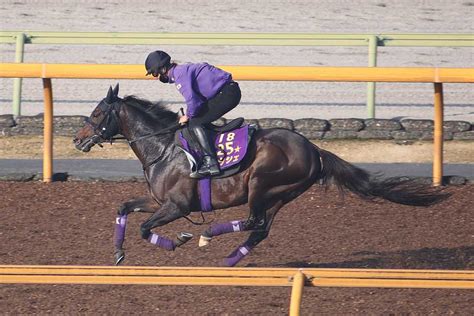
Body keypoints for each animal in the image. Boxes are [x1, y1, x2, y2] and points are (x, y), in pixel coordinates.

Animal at [73, 84, 448, 266]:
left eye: (97, 112)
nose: (77, 139)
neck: (163, 146)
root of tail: (315, 149)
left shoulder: (177, 206)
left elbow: (145, 228)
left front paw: (177, 240)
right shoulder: (158, 201)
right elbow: (123, 208)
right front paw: (118, 253)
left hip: (262, 183)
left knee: (254, 222)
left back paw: (208, 236)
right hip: (282, 194)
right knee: (260, 229)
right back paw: (228, 260)